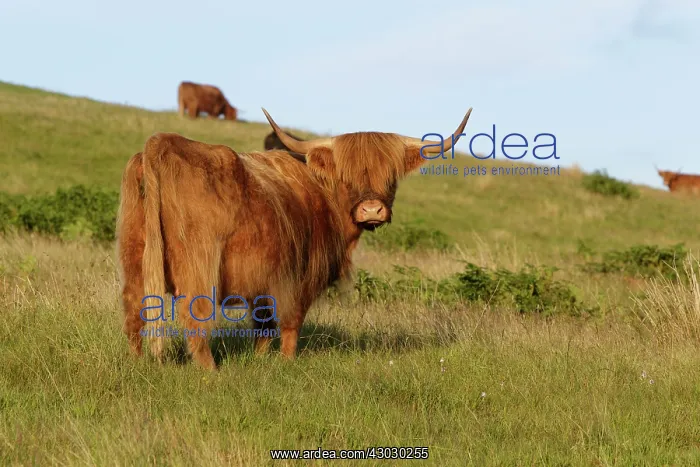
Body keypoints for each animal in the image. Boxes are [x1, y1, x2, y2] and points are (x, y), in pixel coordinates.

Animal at [116, 107, 473, 370]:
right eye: (347, 177)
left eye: (391, 176)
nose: (372, 210)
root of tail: (161, 145)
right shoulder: (297, 279)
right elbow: (289, 323)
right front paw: (286, 363)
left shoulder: (265, 283)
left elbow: (263, 326)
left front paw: (260, 362)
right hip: (199, 267)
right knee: (195, 320)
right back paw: (211, 373)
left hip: (135, 261)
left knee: (134, 311)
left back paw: (137, 363)